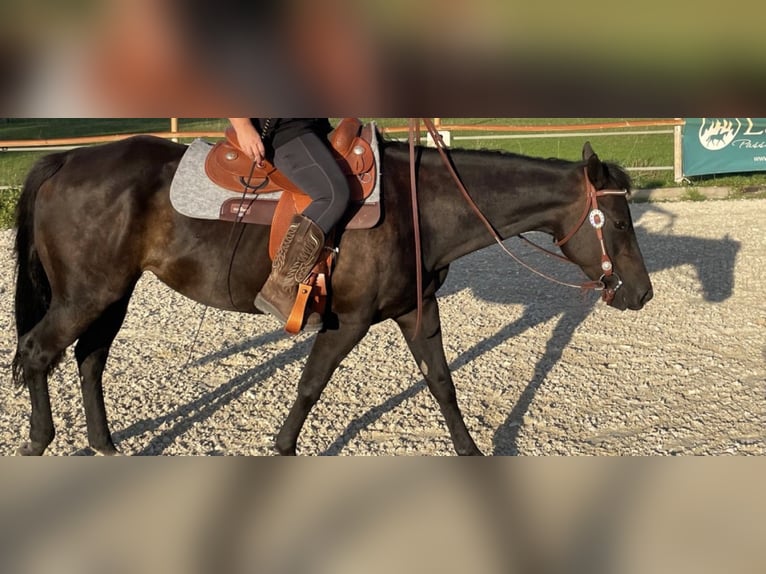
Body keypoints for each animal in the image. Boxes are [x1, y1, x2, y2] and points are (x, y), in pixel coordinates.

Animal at [11, 133, 653, 455]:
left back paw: (103, 445)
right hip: (86, 294)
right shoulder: (348, 320)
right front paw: (282, 449)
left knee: (89, 359)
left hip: (110, 293)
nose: (642, 293)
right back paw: (40, 441)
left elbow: (443, 385)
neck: (418, 206)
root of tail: (68, 159)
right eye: (620, 222)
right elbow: (310, 386)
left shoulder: (416, 312)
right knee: (38, 353)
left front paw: (470, 451)